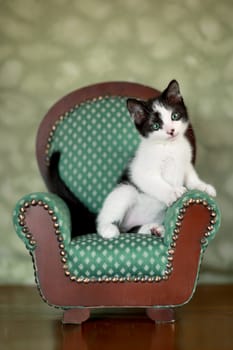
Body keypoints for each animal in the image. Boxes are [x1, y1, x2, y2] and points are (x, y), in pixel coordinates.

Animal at [96, 81, 215, 241]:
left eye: (174, 116)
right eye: (156, 126)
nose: (171, 131)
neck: (169, 147)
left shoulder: (186, 162)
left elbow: (190, 176)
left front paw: (202, 187)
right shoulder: (141, 171)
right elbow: (156, 182)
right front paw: (173, 192)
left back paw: (155, 229)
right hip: (124, 190)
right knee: (111, 216)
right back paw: (108, 228)